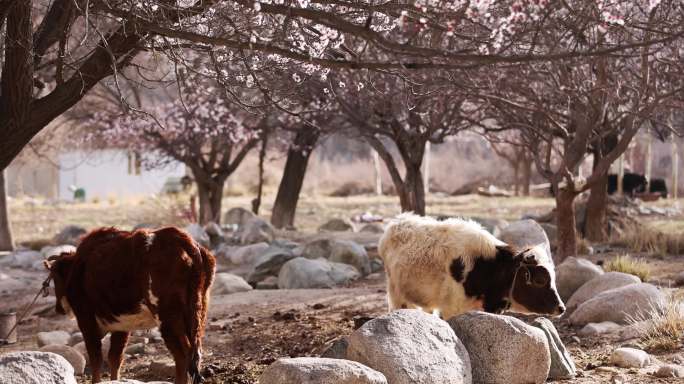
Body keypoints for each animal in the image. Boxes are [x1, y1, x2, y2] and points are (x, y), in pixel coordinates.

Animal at [44, 226, 215, 382]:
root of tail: (187, 243)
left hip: (168, 317)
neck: (78, 268)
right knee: (194, 353)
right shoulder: (122, 325)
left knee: (182, 354)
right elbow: (115, 358)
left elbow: (96, 359)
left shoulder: (86, 319)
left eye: (55, 278)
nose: (58, 308)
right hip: (198, 313)